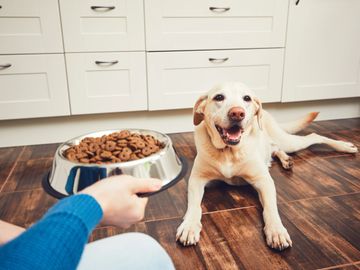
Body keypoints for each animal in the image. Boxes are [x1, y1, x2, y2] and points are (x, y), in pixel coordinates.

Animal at [175, 81, 358, 251]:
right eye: (219, 97)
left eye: (246, 98)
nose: (237, 113)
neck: (229, 151)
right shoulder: (197, 179)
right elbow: (194, 206)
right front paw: (189, 226)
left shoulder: (264, 181)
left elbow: (270, 208)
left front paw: (276, 231)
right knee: (275, 148)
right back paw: (286, 160)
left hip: (288, 141)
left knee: (313, 136)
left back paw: (345, 146)